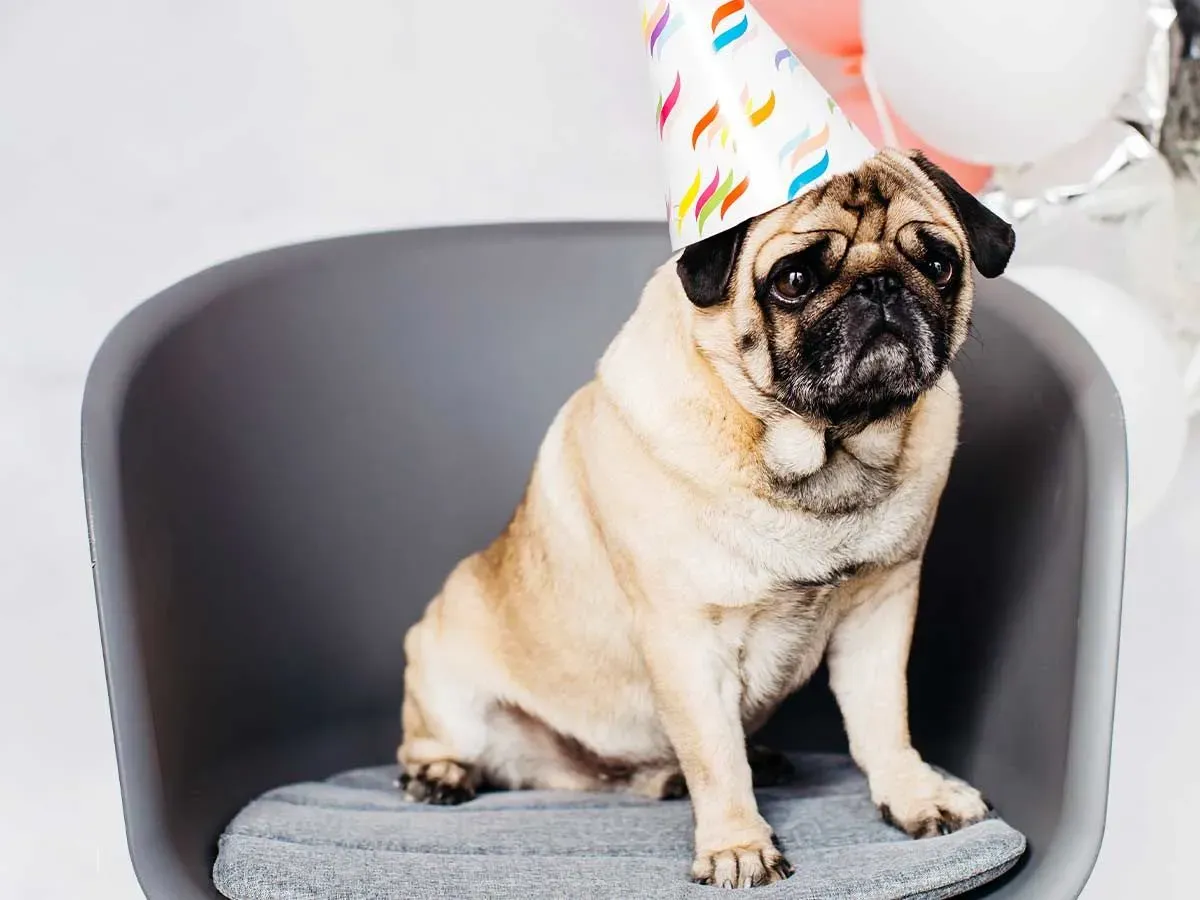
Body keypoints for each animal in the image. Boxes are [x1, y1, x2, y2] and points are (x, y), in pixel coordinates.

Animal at [398, 148, 1017, 888]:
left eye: (938, 264)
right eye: (794, 280)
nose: (880, 287)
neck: (824, 452)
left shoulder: (880, 610)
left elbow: (883, 720)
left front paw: (914, 793)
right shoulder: (687, 638)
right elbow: (715, 757)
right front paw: (736, 845)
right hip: (443, 675)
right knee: (444, 742)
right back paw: (439, 774)